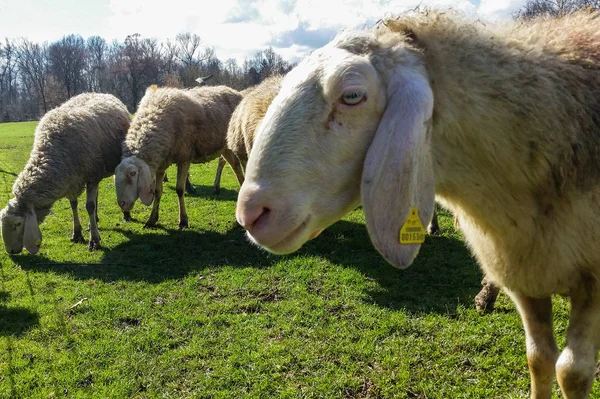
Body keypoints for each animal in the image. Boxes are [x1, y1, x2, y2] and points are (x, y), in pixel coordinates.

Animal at [0, 94, 131, 253]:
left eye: (18, 224)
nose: (11, 251)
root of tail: (99, 92)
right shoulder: (71, 181)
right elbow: (74, 205)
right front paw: (77, 233)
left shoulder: (91, 176)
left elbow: (89, 206)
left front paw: (94, 240)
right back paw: (94, 221)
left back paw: (125, 215)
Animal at [115, 85, 246, 230]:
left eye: (132, 174)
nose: (122, 203)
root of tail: (234, 91)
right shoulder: (161, 164)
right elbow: (157, 191)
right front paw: (152, 219)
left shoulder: (184, 157)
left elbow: (179, 189)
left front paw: (183, 220)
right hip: (224, 147)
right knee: (236, 168)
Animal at [237, 10, 600, 398]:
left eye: (352, 95)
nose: (251, 214)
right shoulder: (524, 277)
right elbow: (539, 358)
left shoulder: (591, 283)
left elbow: (572, 373)